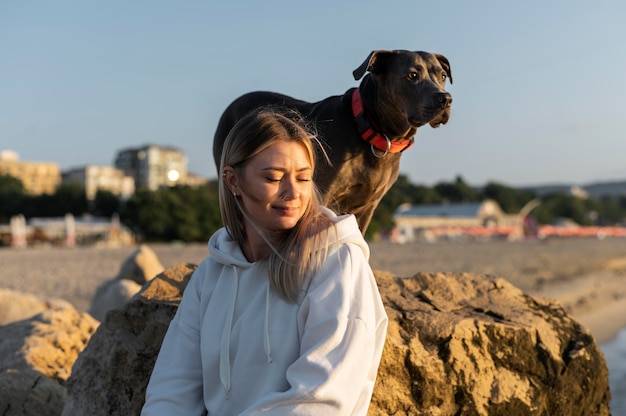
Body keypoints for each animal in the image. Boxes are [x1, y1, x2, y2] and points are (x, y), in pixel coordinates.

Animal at [212, 48, 450, 234]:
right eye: (412, 75)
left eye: (442, 76)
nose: (445, 98)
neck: (370, 128)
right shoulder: (320, 194)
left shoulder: (367, 207)